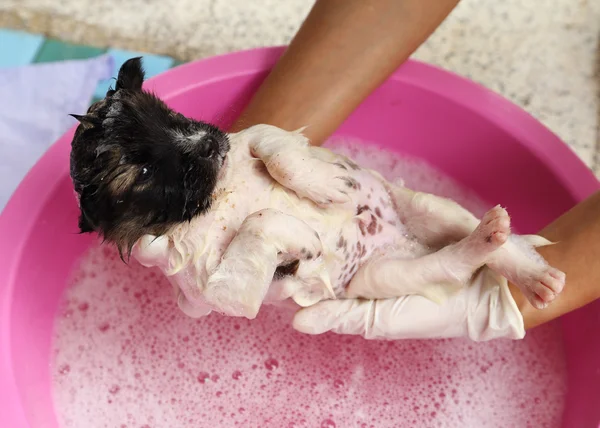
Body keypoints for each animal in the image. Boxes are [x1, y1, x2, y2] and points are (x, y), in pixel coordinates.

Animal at [70, 56, 568, 318]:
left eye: (164, 113)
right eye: (144, 173)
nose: (211, 142)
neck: (214, 198)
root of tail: (408, 240)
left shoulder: (260, 135)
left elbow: (279, 154)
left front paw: (328, 186)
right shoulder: (219, 292)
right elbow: (262, 222)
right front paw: (303, 237)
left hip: (426, 205)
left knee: (482, 239)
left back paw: (530, 267)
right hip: (387, 276)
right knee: (454, 261)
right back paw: (497, 247)